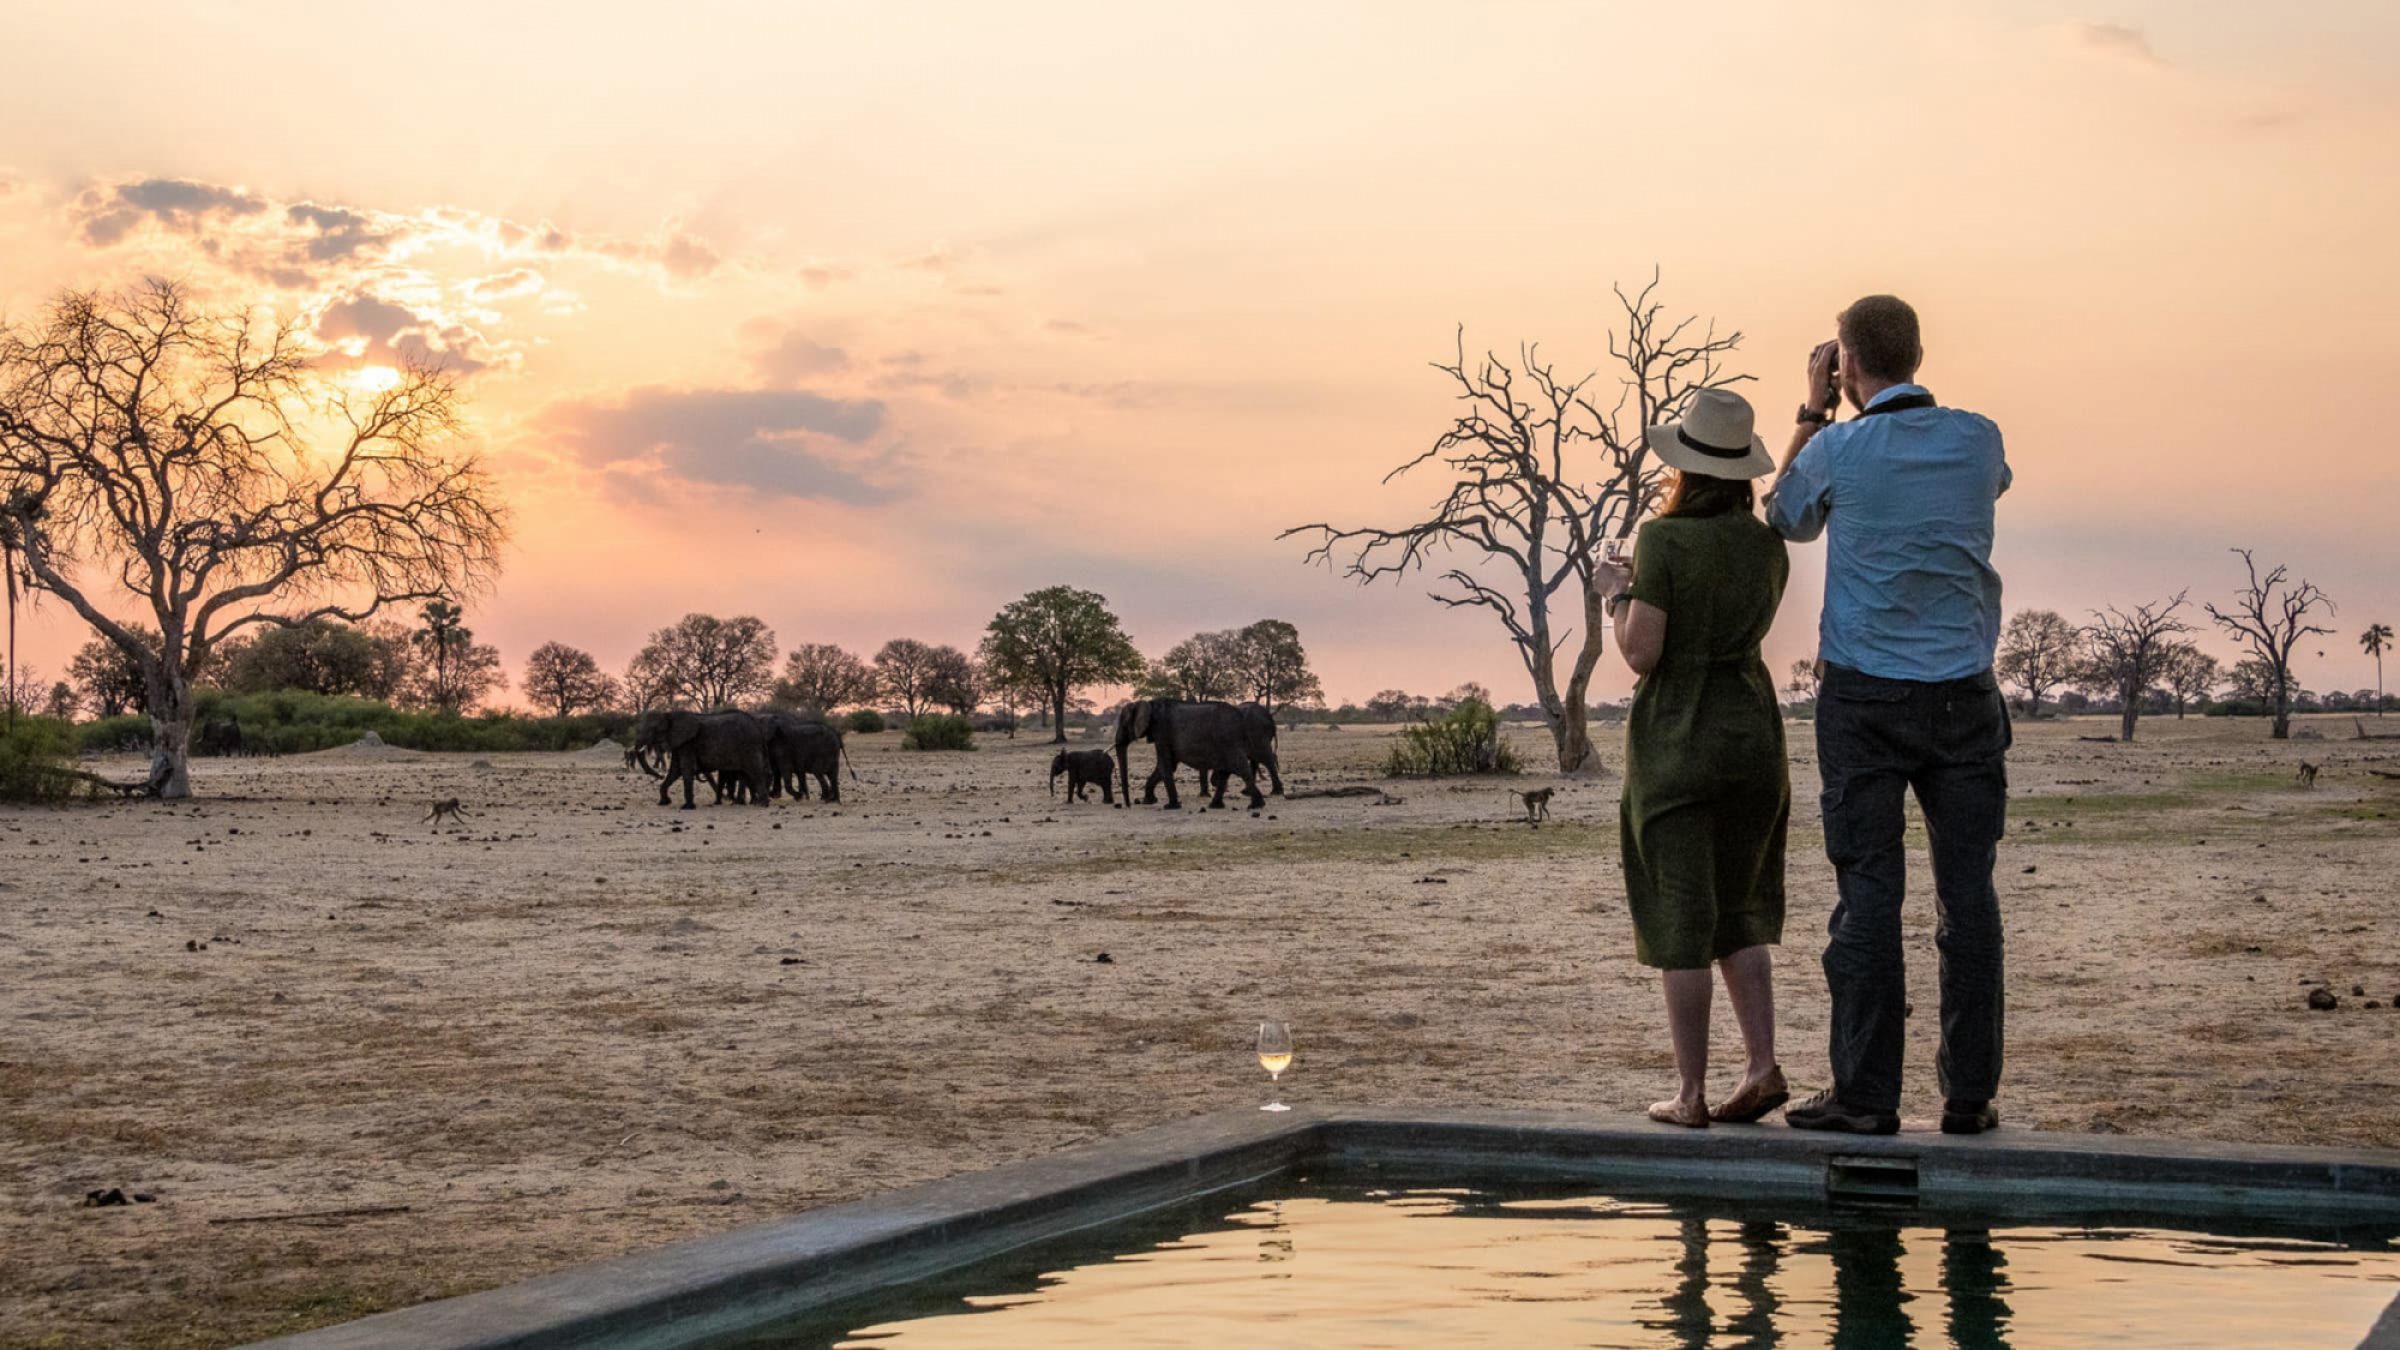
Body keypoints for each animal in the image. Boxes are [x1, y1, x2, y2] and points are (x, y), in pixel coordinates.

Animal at [628, 706, 768, 807]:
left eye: (653, 729)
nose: (659, 775)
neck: (668, 714)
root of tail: (757, 726)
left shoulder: (688, 743)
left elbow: (685, 769)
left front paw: (687, 807)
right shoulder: (679, 743)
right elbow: (675, 770)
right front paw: (664, 802)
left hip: (749, 745)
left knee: (756, 771)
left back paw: (762, 804)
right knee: (744, 774)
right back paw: (738, 803)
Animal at [1118, 696, 1276, 802]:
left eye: (1124, 725)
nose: (1129, 803)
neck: (1148, 703)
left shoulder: (1161, 730)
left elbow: (1165, 764)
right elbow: (1168, 765)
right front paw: (1149, 801)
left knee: (1261, 759)